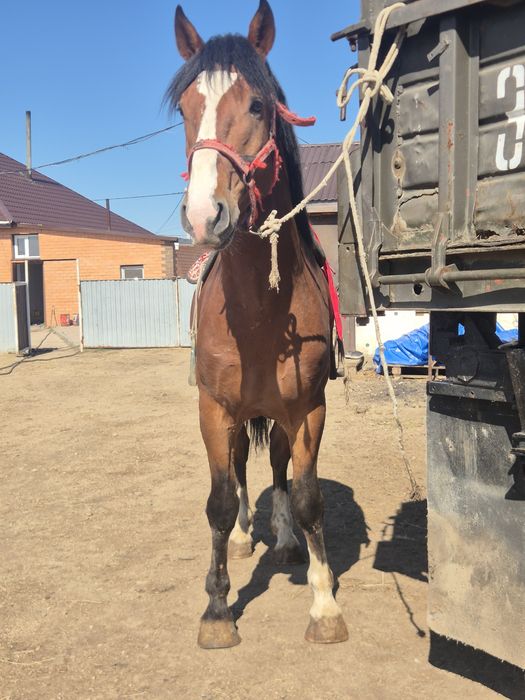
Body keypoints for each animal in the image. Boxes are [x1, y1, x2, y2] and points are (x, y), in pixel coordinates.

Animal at [166, 0, 348, 648]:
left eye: (258, 106)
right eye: (185, 108)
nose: (204, 215)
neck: (259, 318)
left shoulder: (309, 409)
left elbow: (308, 496)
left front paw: (324, 604)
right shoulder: (214, 409)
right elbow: (220, 502)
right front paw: (218, 609)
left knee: (275, 470)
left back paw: (287, 540)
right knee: (244, 469)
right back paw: (248, 537)